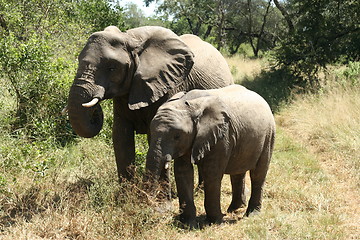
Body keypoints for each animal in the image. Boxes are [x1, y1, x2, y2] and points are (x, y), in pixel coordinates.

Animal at [65, 25, 233, 180]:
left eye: (112, 68)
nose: (95, 108)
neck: (130, 39)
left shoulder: (169, 84)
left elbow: (155, 136)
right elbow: (121, 137)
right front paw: (126, 192)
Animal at [145, 85, 274, 227]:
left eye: (177, 136)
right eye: (151, 132)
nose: (156, 211)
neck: (189, 105)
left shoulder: (222, 136)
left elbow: (211, 174)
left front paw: (215, 221)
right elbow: (183, 172)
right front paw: (187, 224)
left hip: (268, 135)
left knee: (258, 174)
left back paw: (251, 213)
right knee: (238, 172)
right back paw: (234, 209)